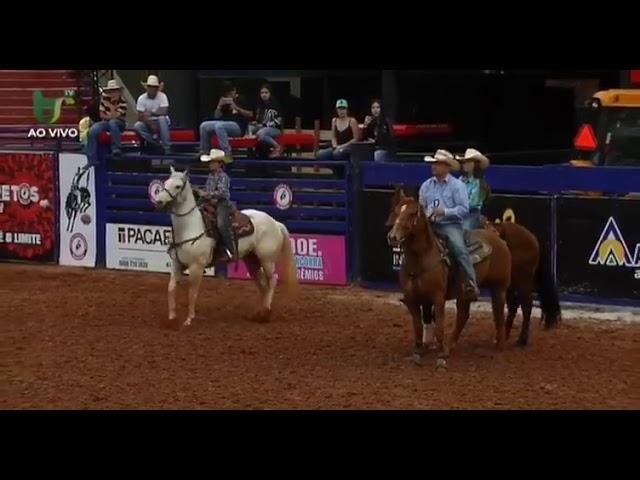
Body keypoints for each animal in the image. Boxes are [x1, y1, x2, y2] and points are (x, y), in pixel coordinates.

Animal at [155, 167, 298, 328]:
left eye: (178, 186)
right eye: (165, 183)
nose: (158, 201)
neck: (189, 226)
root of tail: (275, 222)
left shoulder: (196, 266)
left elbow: (192, 293)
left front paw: (189, 319)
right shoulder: (176, 264)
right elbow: (171, 288)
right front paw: (172, 318)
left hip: (267, 259)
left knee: (272, 280)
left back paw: (266, 312)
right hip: (252, 260)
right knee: (263, 285)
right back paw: (260, 313)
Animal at [384, 188, 510, 368]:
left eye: (412, 214)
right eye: (396, 211)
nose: (392, 237)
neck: (421, 259)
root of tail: (497, 238)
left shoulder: (438, 298)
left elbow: (439, 328)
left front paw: (441, 356)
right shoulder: (413, 299)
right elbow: (418, 327)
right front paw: (418, 352)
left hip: (499, 287)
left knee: (498, 314)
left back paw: (499, 346)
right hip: (464, 294)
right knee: (463, 316)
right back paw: (451, 345)